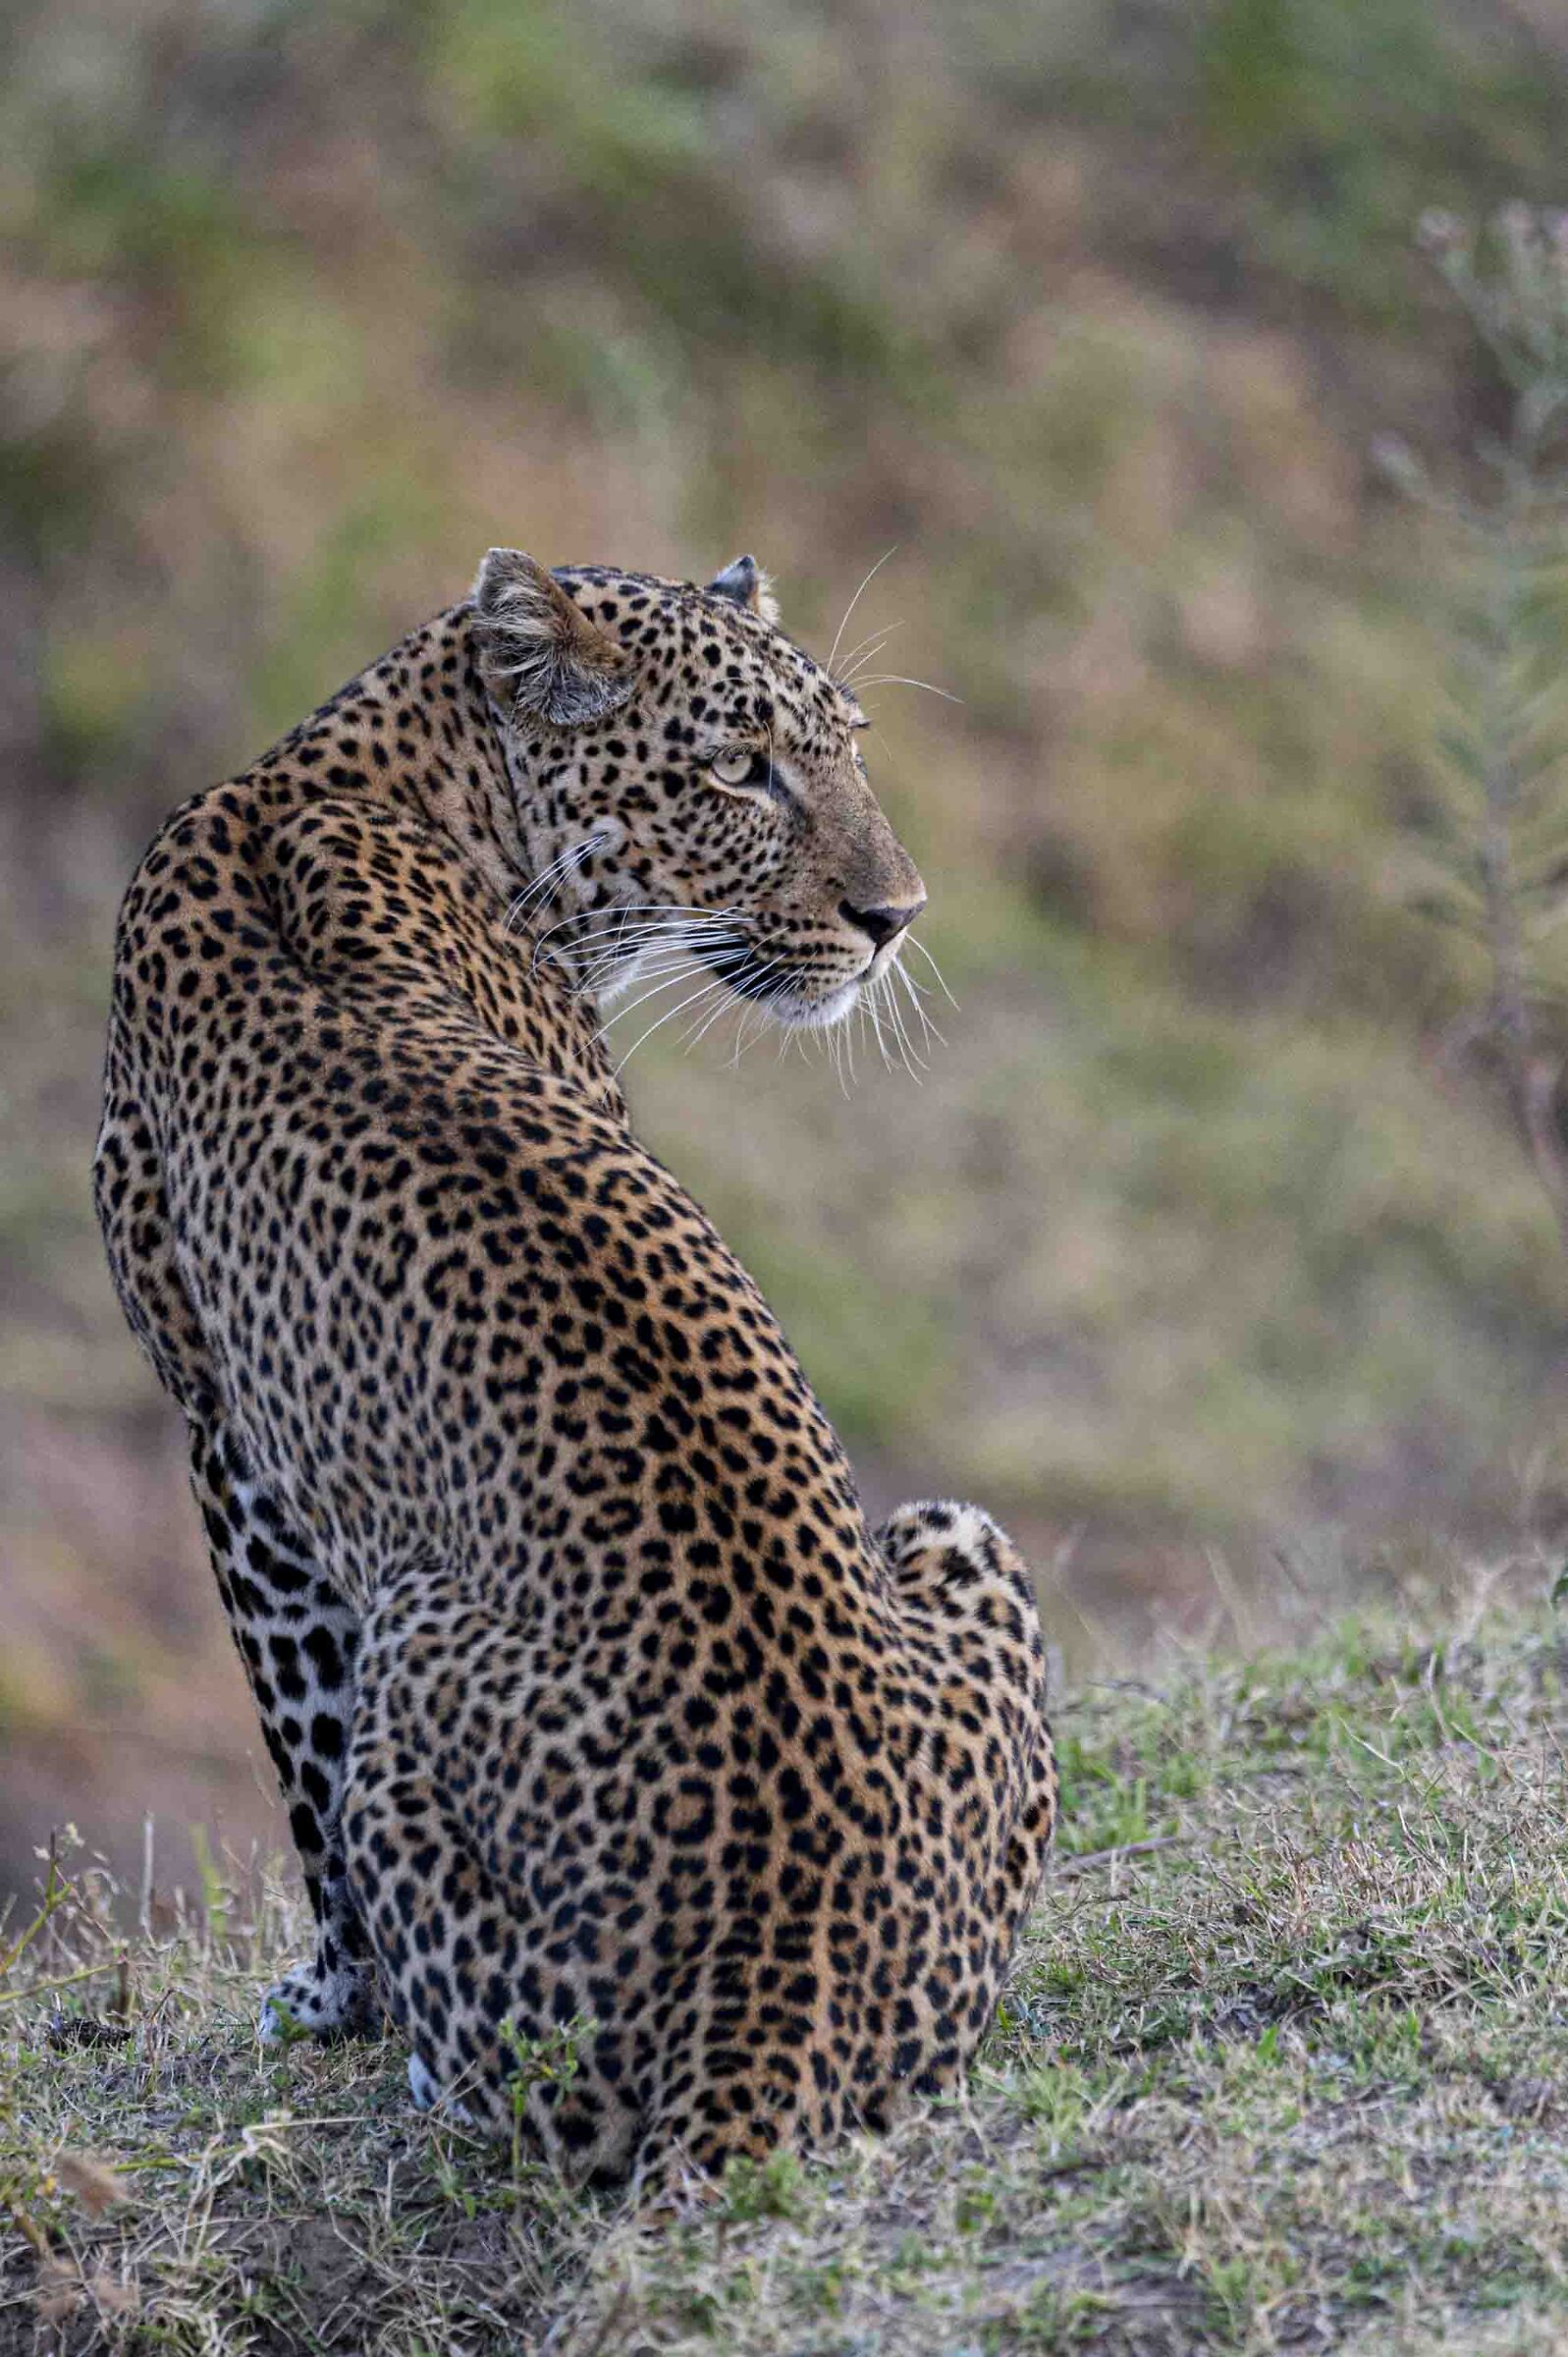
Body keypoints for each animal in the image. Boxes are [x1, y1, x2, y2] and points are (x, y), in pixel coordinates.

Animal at [94, 546, 1058, 2187]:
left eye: (849, 746)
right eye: (739, 771)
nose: (897, 915)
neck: (353, 775)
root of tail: (779, 1964)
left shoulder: (233, 1446)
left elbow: (299, 1750)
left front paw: (331, 2003)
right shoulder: (234, 1443)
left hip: (424, 1654)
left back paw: (429, 2074)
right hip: (953, 1532)